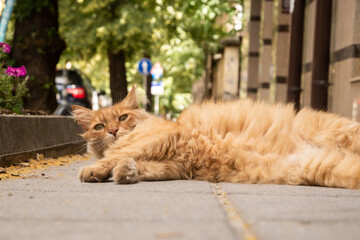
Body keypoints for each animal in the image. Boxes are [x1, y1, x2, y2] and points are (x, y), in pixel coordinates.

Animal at [71, 86, 360, 189]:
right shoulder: (175, 166)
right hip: (321, 168)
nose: (113, 131)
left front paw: (96, 169)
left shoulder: (163, 138)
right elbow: (139, 166)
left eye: (122, 118)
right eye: (99, 126)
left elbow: (119, 154)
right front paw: (126, 172)